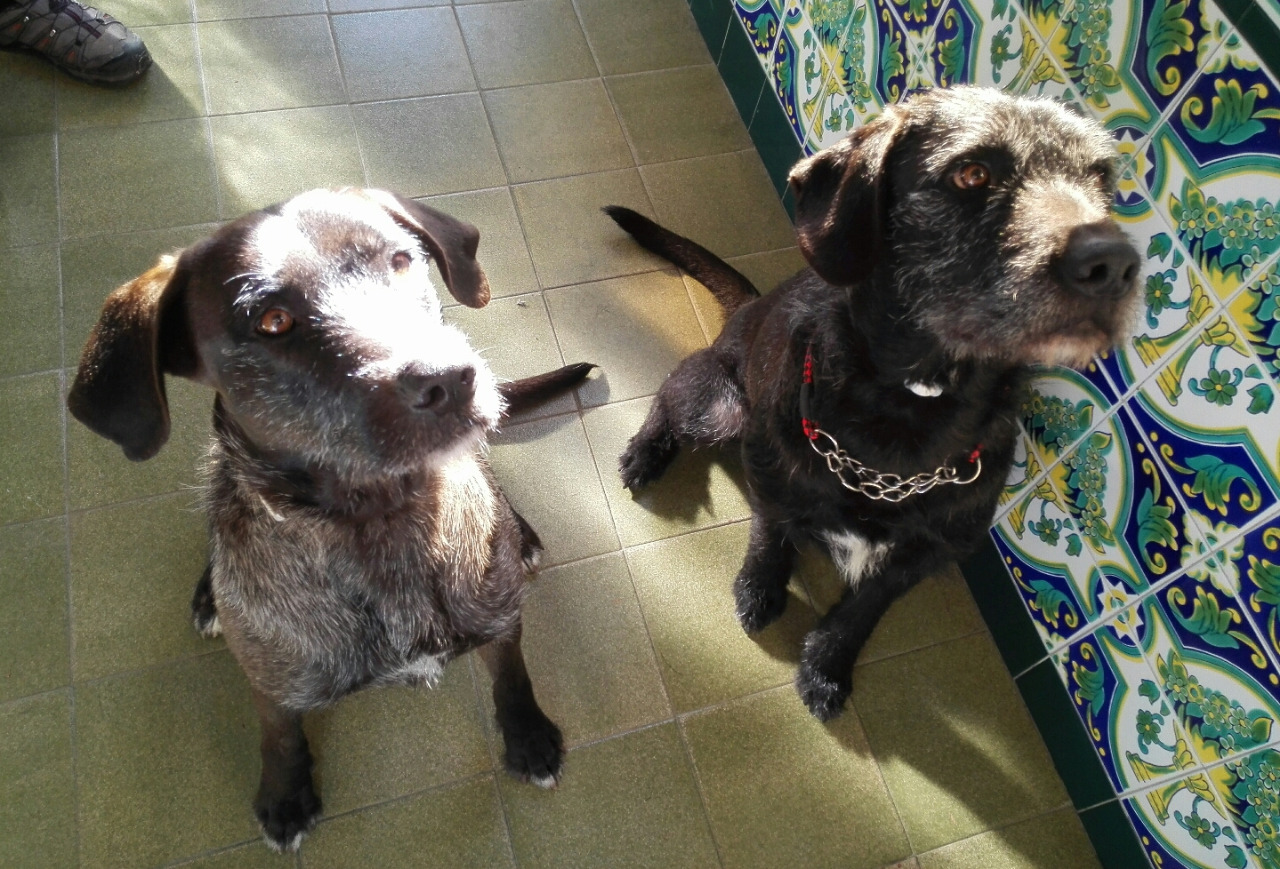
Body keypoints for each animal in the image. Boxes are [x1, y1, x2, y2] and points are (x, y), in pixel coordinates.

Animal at [68, 188, 593, 851]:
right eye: (272, 321)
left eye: (401, 260)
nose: (449, 379)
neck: (382, 524)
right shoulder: (273, 686)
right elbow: (281, 736)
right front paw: (285, 794)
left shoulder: (500, 622)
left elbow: (513, 678)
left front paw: (527, 736)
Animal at [606, 86, 1140, 721]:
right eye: (971, 173)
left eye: (1102, 179)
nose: (1115, 265)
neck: (912, 414)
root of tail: (748, 307)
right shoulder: (773, 479)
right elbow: (768, 537)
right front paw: (760, 589)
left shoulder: (925, 555)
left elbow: (862, 610)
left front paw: (826, 668)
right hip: (719, 407)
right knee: (672, 387)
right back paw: (646, 453)